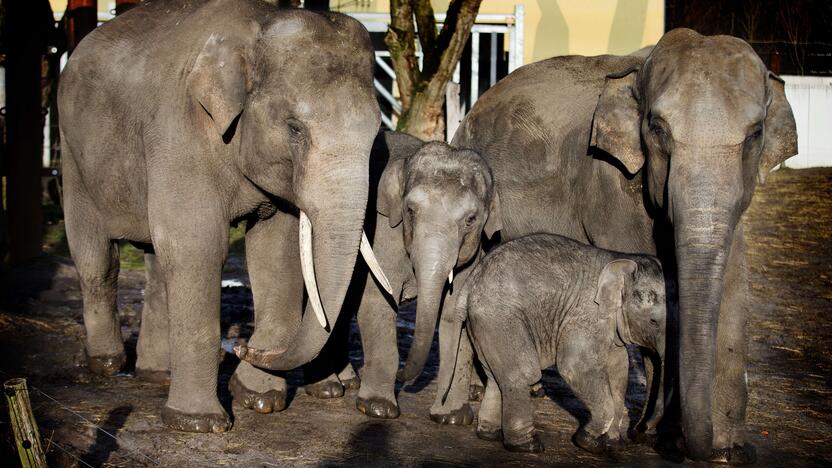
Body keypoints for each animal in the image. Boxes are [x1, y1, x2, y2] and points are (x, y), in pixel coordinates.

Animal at [58, 0, 390, 434]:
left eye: (376, 133)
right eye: (295, 129)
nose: (242, 346)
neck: (258, 24)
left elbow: (275, 254)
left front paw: (260, 399)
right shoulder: (179, 130)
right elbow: (197, 247)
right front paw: (199, 423)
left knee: (156, 263)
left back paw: (157, 373)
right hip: (73, 156)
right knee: (97, 258)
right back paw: (108, 365)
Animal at [240, 130, 500, 422]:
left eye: (471, 219)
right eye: (410, 211)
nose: (403, 378)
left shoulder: (474, 252)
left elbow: (455, 314)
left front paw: (453, 418)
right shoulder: (383, 233)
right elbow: (377, 303)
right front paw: (377, 408)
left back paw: (342, 383)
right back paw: (329, 388)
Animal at [438, 234, 668, 454]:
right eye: (653, 321)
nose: (642, 431)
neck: (622, 260)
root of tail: (470, 283)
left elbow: (619, 370)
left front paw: (614, 446)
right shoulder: (586, 315)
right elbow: (575, 367)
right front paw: (588, 443)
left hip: (483, 323)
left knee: (497, 377)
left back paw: (491, 435)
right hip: (499, 316)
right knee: (522, 373)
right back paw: (528, 446)